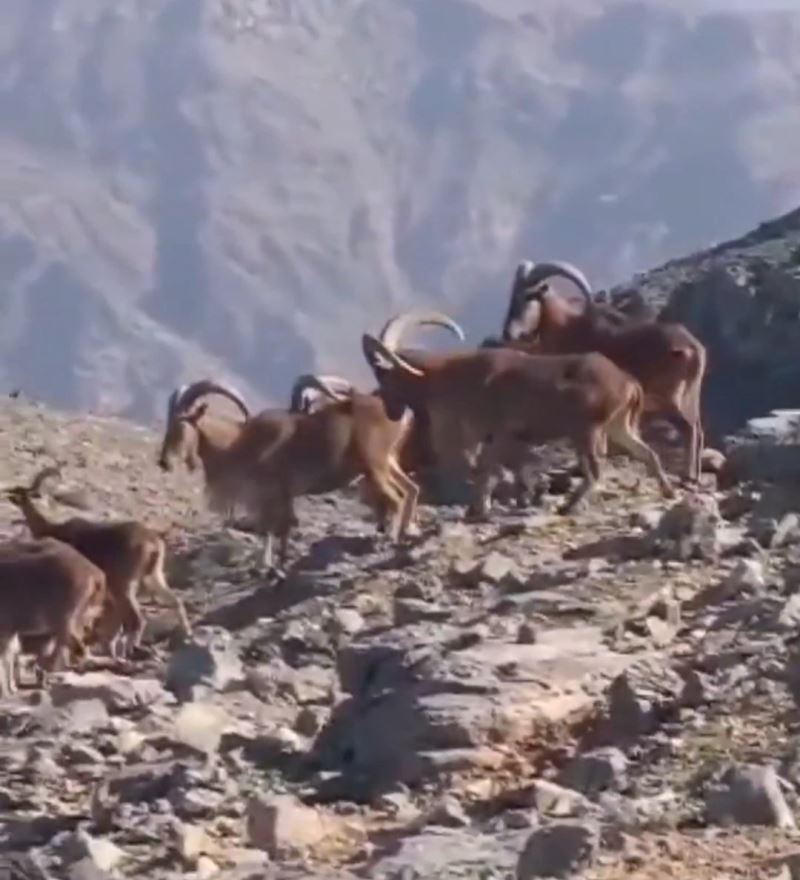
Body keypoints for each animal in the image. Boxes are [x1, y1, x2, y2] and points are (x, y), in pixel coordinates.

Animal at [6, 470, 190, 656]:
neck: (51, 528)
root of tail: (153, 542)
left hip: (124, 584)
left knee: (137, 619)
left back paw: (128, 649)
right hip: (153, 576)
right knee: (176, 601)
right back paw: (185, 633)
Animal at [157, 376, 418, 572]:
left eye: (181, 425)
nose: (164, 462)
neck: (237, 445)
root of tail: (401, 413)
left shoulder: (269, 495)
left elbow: (269, 529)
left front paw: (264, 566)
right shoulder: (273, 498)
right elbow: (277, 529)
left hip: (375, 464)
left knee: (396, 498)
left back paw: (389, 538)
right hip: (388, 462)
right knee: (410, 489)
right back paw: (404, 532)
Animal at [362, 332, 676, 524]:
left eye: (385, 378)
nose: (390, 413)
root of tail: (628, 382)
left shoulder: (496, 433)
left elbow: (486, 470)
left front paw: (482, 508)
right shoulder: (498, 439)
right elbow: (497, 470)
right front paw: (494, 505)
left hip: (587, 430)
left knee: (596, 470)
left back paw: (569, 505)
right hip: (618, 426)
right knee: (646, 453)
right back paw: (668, 491)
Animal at [504, 258, 704, 484]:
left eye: (529, 296)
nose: (509, 333)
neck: (567, 328)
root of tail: (693, 348)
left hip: (669, 399)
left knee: (688, 428)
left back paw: (688, 475)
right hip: (691, 396)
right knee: (698, 429)